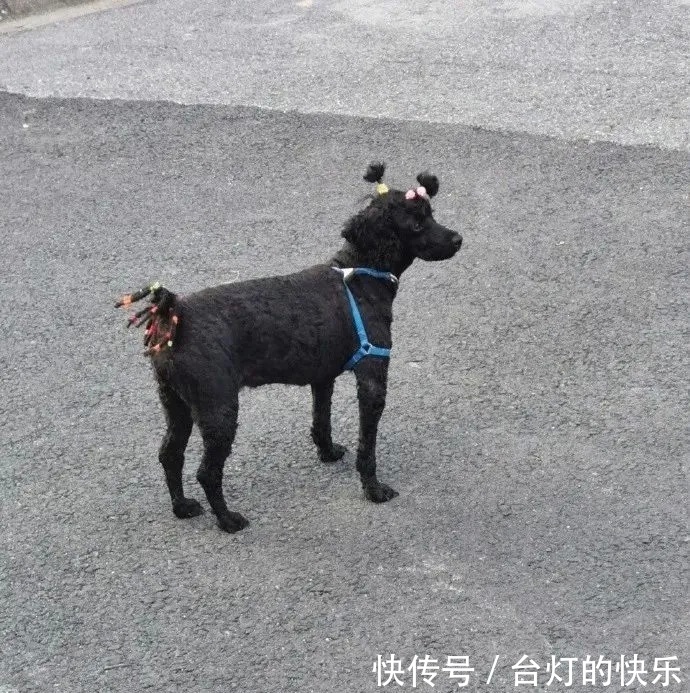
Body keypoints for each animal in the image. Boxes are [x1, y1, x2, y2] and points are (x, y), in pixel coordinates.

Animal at [117, 165, 462, 532]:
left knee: (170, 454)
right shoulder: (372, 378)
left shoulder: (323, 377)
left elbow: (321, 421)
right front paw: (373, 489)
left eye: (431, 214)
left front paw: (328, 453)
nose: (458, 239)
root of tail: (175, 313)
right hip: (219, 408)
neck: (360, 275)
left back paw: (181, 506)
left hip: (177, 403)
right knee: (207, 473)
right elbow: (367, 448)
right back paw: (227, 519)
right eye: (416, 224)